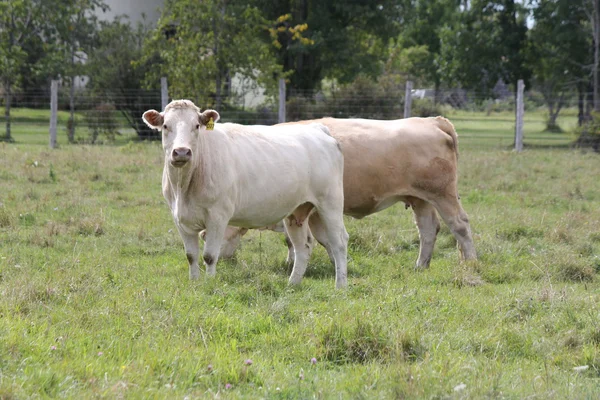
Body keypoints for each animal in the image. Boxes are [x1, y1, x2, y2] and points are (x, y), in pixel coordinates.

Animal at [144, 99, 350, 288]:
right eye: (165, 126)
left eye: (196, 125)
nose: (181, 152)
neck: (184, 187)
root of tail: (318, 129)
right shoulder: (180, 219)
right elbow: (191, 256)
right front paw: (195, 283)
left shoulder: (218, 216)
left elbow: (209, 256)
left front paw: (209, 284)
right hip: (297, 211)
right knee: (303, 247)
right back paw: (292, 284)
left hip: (330, 203)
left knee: (339, 241)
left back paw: (340, 286)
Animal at [204, 117, 476, 270]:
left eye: (207, 234)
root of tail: (433, 120)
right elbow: (309, 240)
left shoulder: (312, 210)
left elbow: (315, 239)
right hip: (421, 198)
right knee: (428, 229)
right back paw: (421, 265)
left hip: (443, 194)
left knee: (459, 225)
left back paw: (471, 263)